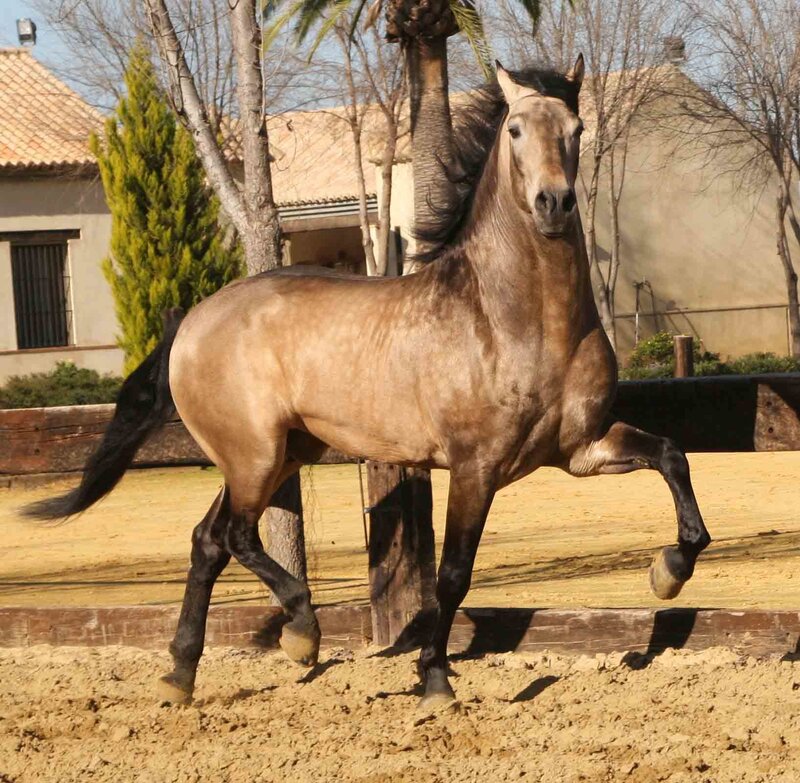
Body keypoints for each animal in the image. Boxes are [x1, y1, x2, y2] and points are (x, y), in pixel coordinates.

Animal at [25, 55, 711, 710]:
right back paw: (300, 634)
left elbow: (671, 458)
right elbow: (453, 575)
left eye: (577, 128)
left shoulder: (580, 448)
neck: (516, 322)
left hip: (281, 453)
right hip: (254, 455)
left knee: (208, 542)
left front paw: (669, 571)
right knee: (235, 535)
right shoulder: (476, 465)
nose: (554, 203)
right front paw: (434, 681)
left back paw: (182, 676)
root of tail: (193, 317)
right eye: (515, 130)